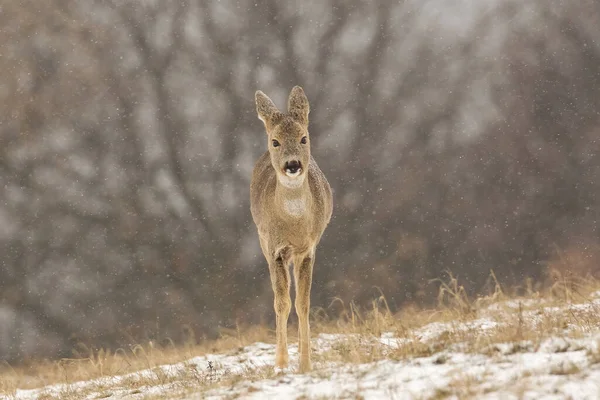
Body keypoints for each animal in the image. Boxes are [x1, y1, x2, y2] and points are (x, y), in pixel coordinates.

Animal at [250, 86, 332, 374]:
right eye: (275, 141)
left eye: (303, 138)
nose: (293, 164)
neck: (293, 225)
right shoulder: (274, 249)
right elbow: (282, 302)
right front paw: (282, 363)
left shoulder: (308, 249)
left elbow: (303, 303)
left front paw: (305, 363)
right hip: (263, 243)